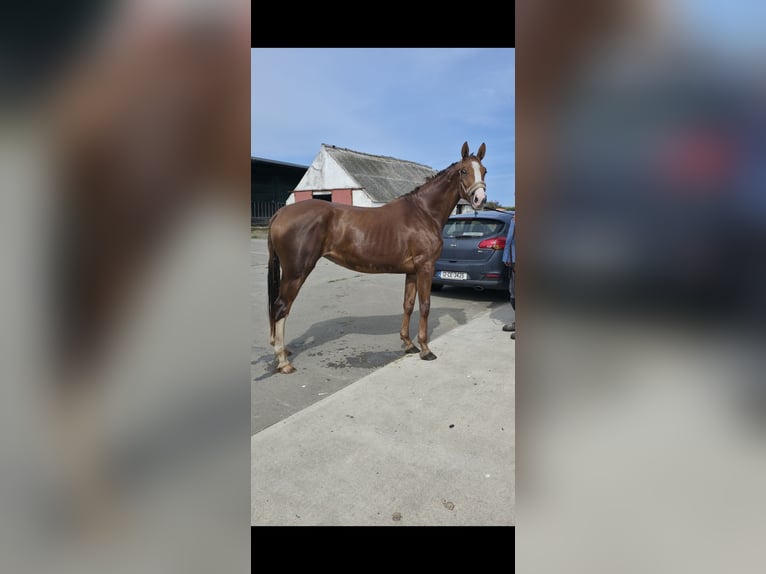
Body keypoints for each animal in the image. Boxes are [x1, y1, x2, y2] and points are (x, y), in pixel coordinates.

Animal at [267, 141, 488, 374]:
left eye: (484, 171)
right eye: (464, 171)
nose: (480, 199)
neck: (424, 213)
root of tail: (280, 213)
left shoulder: (412, 271)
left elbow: (408, 304)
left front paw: (408, 344)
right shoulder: (425, 267)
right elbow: (425, 305)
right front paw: (425, 349)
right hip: (296, 272)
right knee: (281, 307)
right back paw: (283, 361)